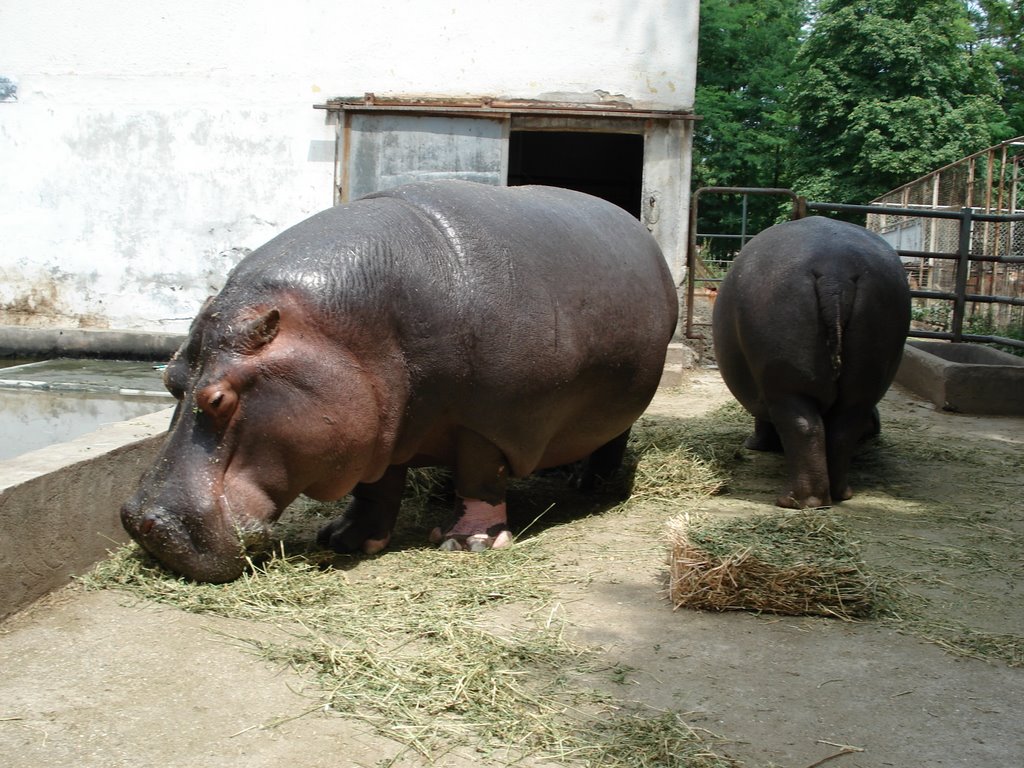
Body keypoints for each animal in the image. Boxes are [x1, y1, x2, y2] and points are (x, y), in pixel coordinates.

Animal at [121, 182, 679, 581]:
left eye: (218, 398)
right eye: (170, 379)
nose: (143, 523)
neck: (339, 332)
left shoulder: (491, 421)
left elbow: (482, 476)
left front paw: (467, 544)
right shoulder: (378, 424)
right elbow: (377, 487)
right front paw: (344, 538)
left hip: (621, 406)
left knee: (611, 438)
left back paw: (590, 483)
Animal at [712, 214, 913, 507]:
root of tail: (835, 271)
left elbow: (764, 421)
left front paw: (754, 445)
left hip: (785, 384)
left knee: (803, 427)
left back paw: (794, 501)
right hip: (863, 382)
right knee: (842, 429)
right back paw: (840, 495)